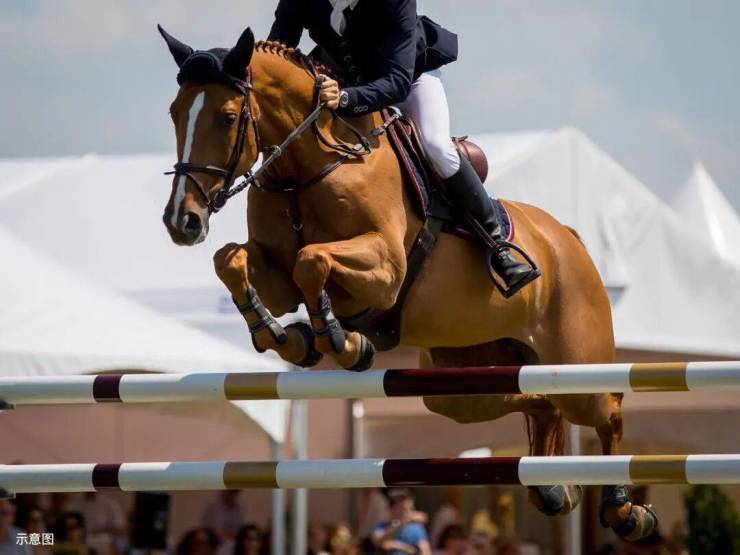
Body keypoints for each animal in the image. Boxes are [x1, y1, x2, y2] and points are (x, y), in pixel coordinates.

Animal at [158, 26, 657, 541]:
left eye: (226, 117)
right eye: (175, 113)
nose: (182, 221)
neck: (308, 168)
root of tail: (569, 238)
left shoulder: (385, 269)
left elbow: (310, 261)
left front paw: (341, 341)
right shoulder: (275, 275)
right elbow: (233, 260)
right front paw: (284, 336)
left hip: (578, 368)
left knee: (607, 412)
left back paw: (625, 510)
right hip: (461, 386)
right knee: (539, 403)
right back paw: (554, 489)